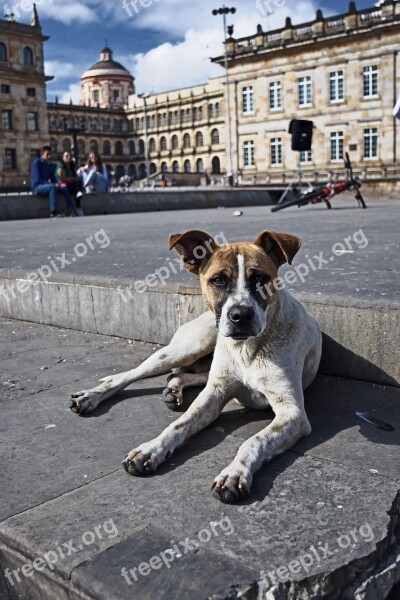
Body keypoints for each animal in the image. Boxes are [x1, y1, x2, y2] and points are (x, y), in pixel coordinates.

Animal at [69, 232, 322, 504]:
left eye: (259, 279)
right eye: (218, 280)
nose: (240, 316)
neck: (246, 348)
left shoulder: (292, 413)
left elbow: (254, 440)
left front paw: (234, 473)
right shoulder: (215, 393)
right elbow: (180, 424)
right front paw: (150, 449)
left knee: (181, 375)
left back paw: (173, 391)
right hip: (188, 347)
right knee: (127, 376)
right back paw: (90, 396)